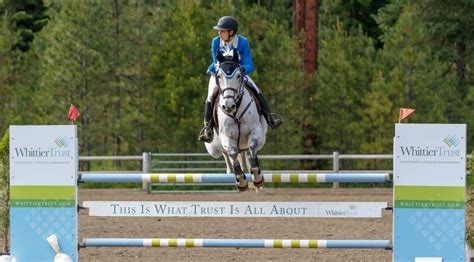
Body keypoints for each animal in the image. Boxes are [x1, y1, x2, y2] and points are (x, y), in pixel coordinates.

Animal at [206, 49, 268, 191]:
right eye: (219, 76)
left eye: (239, 75)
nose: (228, 106)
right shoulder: (226, 136)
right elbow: (232, 152)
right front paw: (240, 181)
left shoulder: (255, 131)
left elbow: (252, 148)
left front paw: (257, 178)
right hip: (213, 148)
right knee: (225, 153)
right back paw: (230, 170)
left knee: (245, 152)